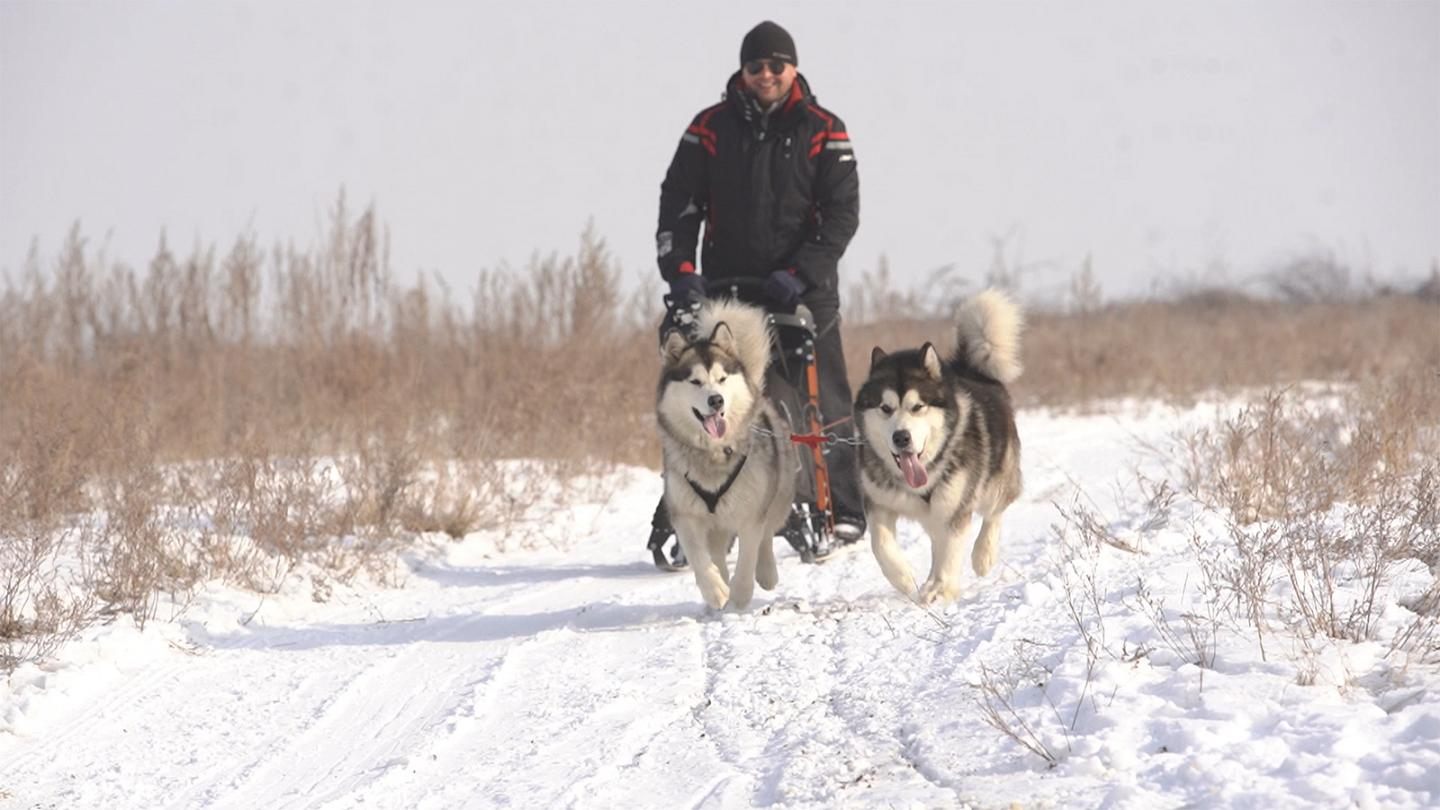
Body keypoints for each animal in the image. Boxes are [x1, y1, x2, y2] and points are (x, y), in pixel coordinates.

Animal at [656, 299, 794, 608]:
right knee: (717, 551)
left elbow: (748, 555)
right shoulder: (685, 514)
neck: (713, 453)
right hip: (714, 523)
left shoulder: (751, 512)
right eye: (695, 382)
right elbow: (698, 557)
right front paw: (716, 590)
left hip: (777, 493)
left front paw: (740, 597)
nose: (716, 400)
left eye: (721, 378)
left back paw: (766, 572)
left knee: (767, 534)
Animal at [852, 286, 1025, 602]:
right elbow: (880, 544)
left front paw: (943, 590)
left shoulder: (956, 509)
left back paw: (982, 555)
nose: (901, 437)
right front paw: (903, 578)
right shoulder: (879, 502)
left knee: (994, 512)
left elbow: (952, 549)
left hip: (993, 484)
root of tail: (970, 369)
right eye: (885, 408)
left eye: (917, 406)